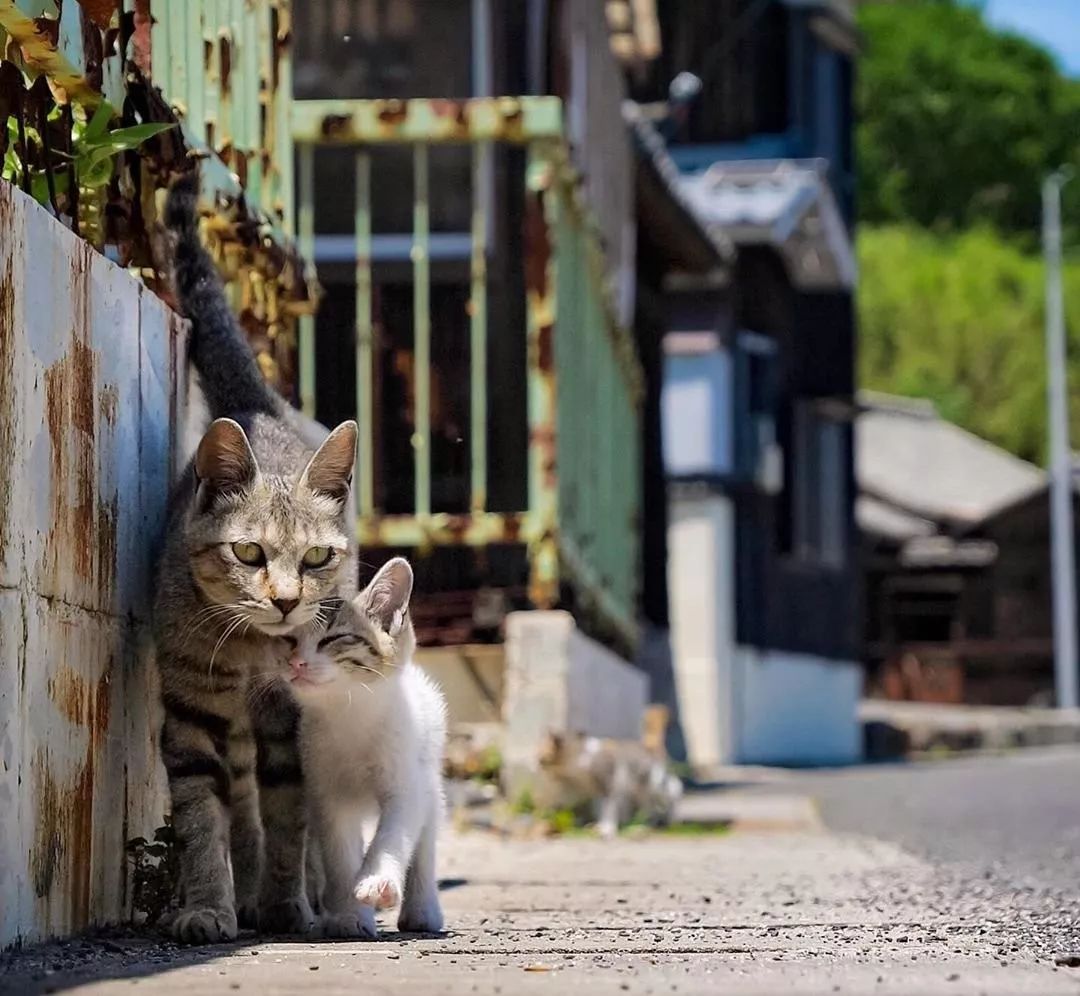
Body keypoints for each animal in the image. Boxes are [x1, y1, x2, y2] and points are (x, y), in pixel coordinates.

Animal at [285, 553, 444, 937]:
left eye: (333, 639)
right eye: (289, 641)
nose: (296, 663)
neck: (350, 715)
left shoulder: (407, 784)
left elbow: (394, 833)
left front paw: (377, 881)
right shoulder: (326, 792)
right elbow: (339, 854)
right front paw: (348, 916)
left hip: (430, 776)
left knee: (427, 835)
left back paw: (423, 910)